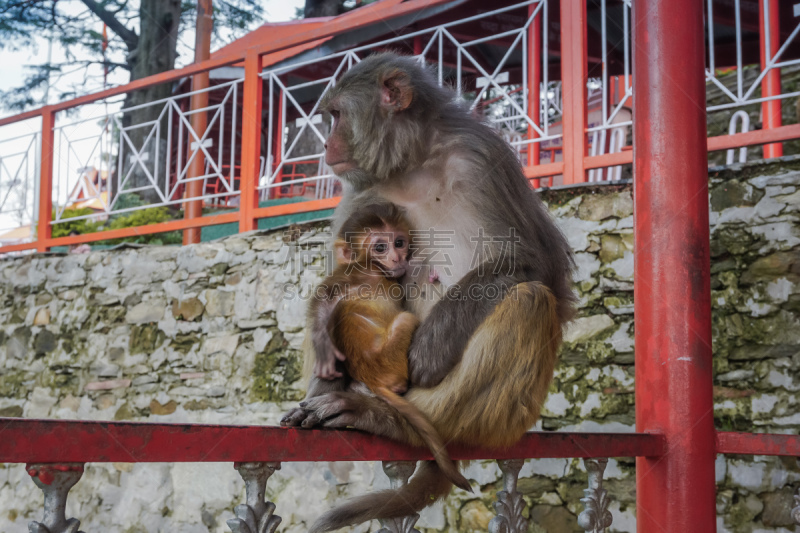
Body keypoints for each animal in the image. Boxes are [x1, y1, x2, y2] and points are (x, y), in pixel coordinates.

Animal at [312, 202, 472, 492]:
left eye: (398, 242)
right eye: (380, 247)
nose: (397, 258)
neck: (372, 269)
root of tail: (374, 379)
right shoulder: (361, 275)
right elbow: (325, 298)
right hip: (389, 356)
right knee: (406, 319)